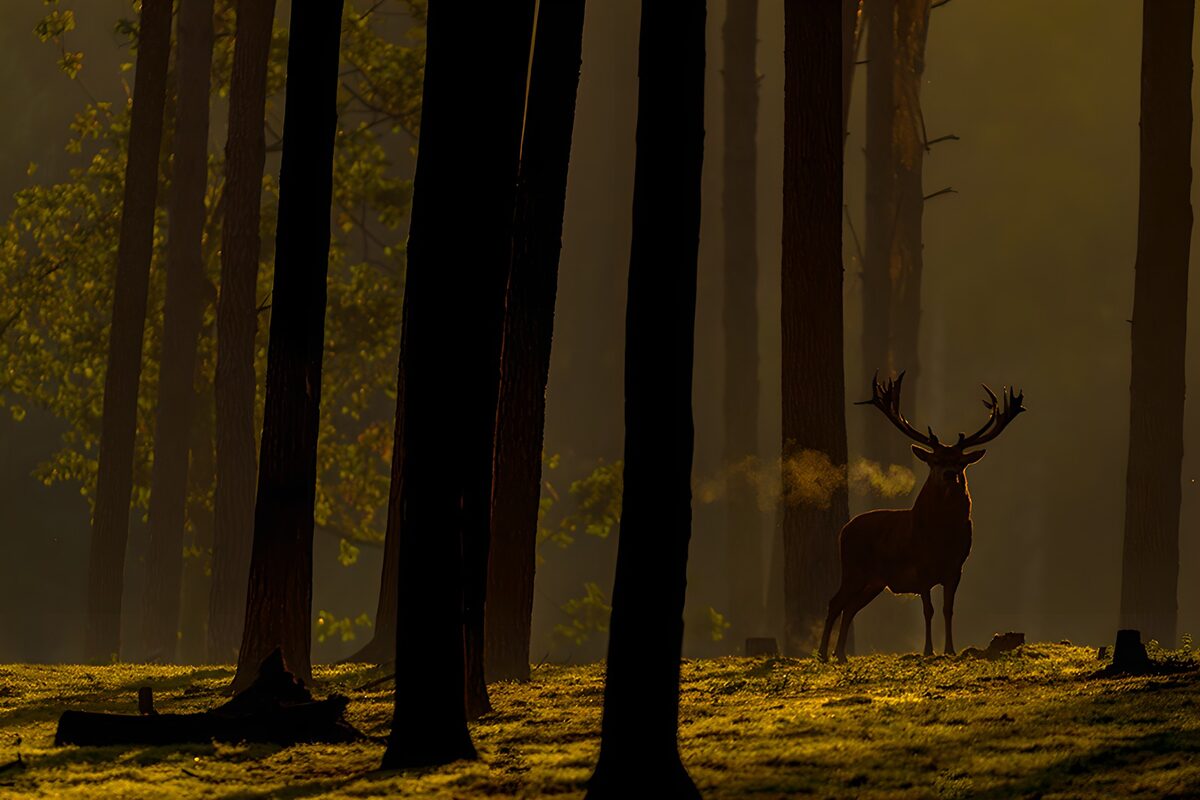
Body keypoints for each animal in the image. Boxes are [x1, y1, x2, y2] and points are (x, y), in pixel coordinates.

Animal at [818, 372, 1025, 663]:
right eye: (935, 460)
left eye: (960, 461)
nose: (950, 474)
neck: (941, 538)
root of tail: (844, 529)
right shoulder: (921, 566)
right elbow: (929, 610)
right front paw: (927, 650)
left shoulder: (956, 568)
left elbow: (948, 610)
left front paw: (950, 649)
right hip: (853, 567)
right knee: (835, 602)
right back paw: (822, 653)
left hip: (874, 581)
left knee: (850, 608)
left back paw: (841, 654)